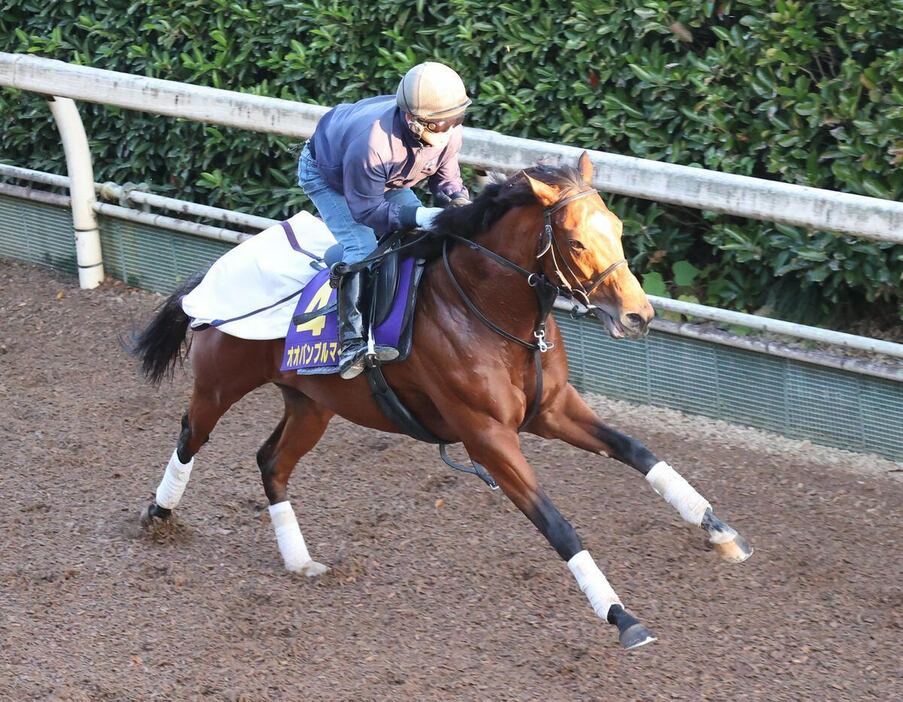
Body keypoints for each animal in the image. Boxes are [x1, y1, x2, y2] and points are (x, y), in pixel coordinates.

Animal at [132, 151, 756, 652]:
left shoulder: (552, 410)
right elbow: (558, 525)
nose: (638, 315)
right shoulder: (487, 437)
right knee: (191, 435)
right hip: (221, 383)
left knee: (271, 461)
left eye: (618, 227)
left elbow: (638, 451)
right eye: (577, 240)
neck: (491, 313)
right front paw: (621, 615)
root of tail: (210, 274)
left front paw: (719, 530)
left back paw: (299, 559)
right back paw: (158, 515)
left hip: (312, 403)